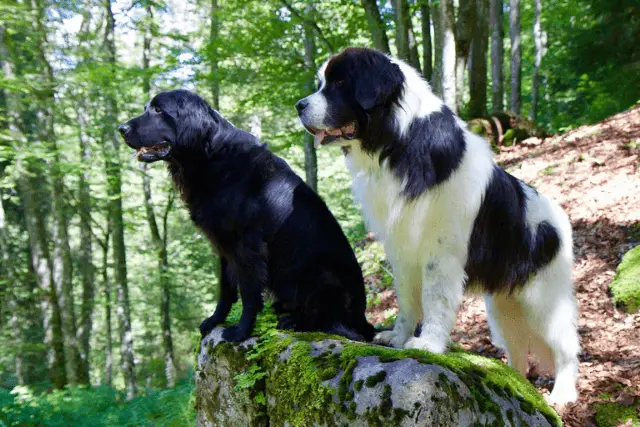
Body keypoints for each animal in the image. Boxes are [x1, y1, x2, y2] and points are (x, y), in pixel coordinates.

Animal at [119, 90, 376, 344]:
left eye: (158, 110)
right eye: (146, 108)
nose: (121, 128)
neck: (211, 156)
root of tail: (363, 319)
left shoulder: (247, 243)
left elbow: (249, 292)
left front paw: (241, 332)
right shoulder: (223, 244)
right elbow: (225, 288)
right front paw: (215, 320)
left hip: (316, 272)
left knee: (329, 321)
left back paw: (295, 321)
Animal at [298, 47, 576, 404]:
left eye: (339, 83)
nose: (299, 105)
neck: (399, 142)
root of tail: (560, 219)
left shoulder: (441, 252)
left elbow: (435, 298)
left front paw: (428, 343)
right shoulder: (401, 247)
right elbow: (405, 298)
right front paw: (397, 336)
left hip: (543, 298)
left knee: (566, 345)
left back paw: (563, 392)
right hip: (504, 305)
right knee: (517, 345)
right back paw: (516, 381)